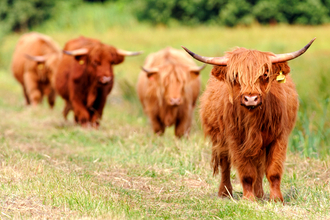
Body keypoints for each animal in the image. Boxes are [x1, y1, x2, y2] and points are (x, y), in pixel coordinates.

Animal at [183, 37, 314, 201]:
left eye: (264, 75)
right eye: (236, 77)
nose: (250, 98)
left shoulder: (279, 137)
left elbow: (273, 171)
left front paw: (276, 199)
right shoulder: (235, 139)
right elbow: (247, 173)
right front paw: (249, 199)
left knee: (258, 165)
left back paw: (259, 193)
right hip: (220, 139)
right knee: (225, 165)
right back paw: (225, 192)